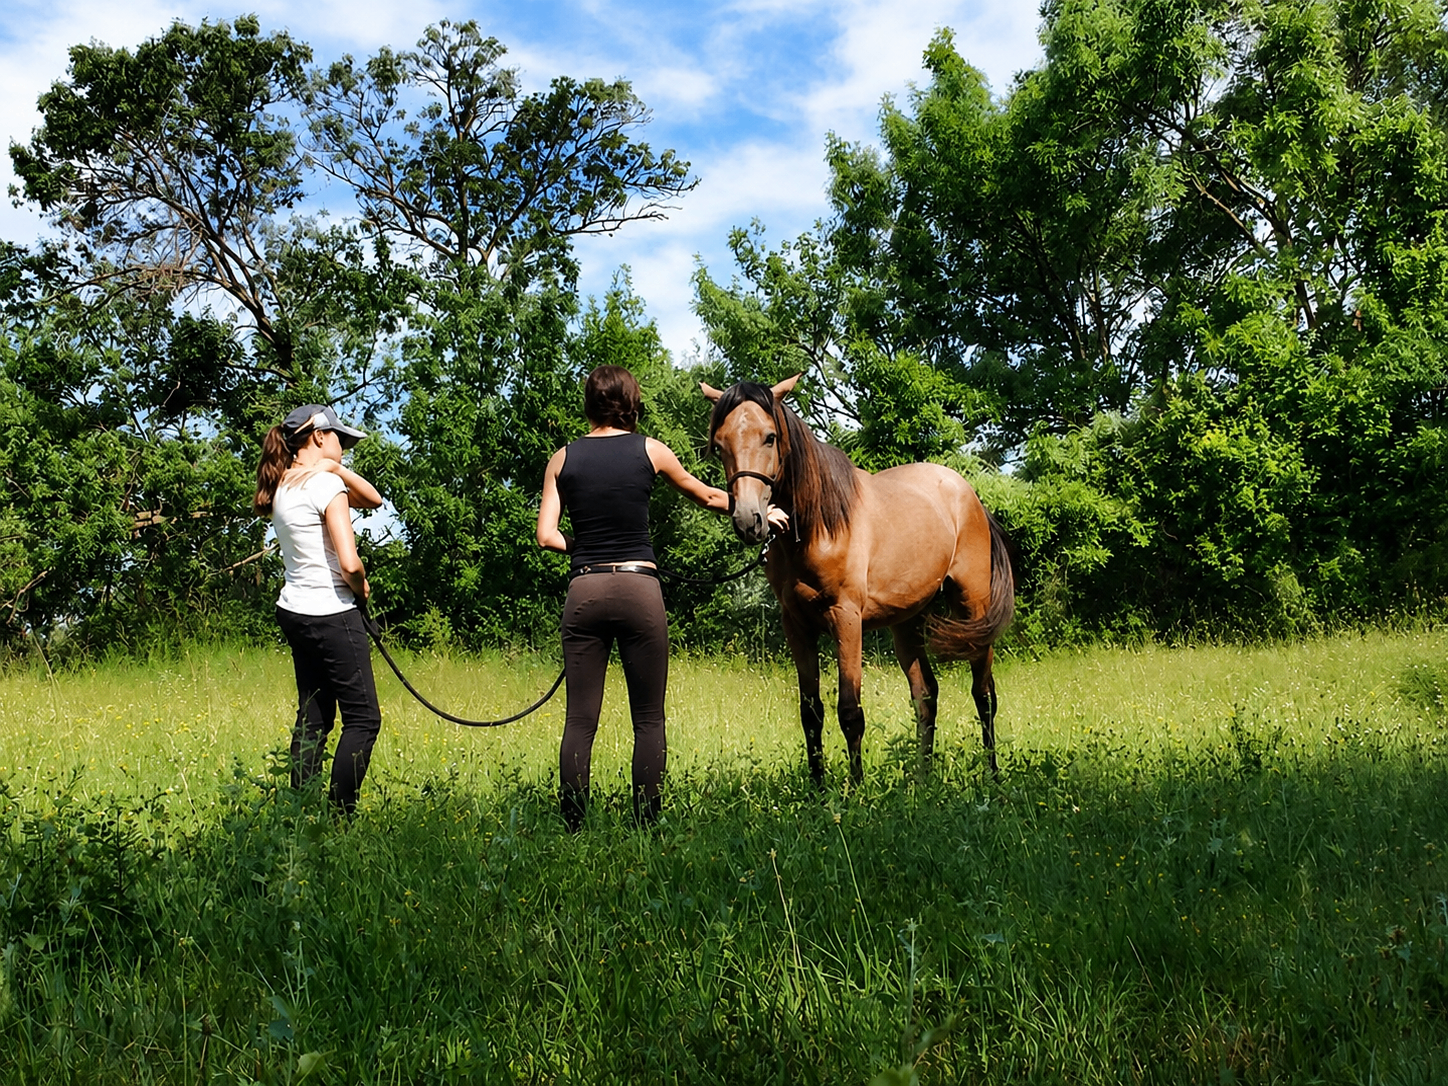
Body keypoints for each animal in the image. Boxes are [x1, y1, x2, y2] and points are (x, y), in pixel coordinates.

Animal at [701, 375, 1016, 783]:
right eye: (719, 444)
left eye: (769, 437)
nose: (748, 520)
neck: (820, 525)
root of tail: (969, 494)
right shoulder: (796, 625)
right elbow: (811, 713)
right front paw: (818, 789)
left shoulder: (847, 620)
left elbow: (850, 711)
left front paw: (855, 788)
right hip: (907, 622)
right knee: (926, 695)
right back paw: (922, 777)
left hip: (973, 608)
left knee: (984, 694)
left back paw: (993, 774)